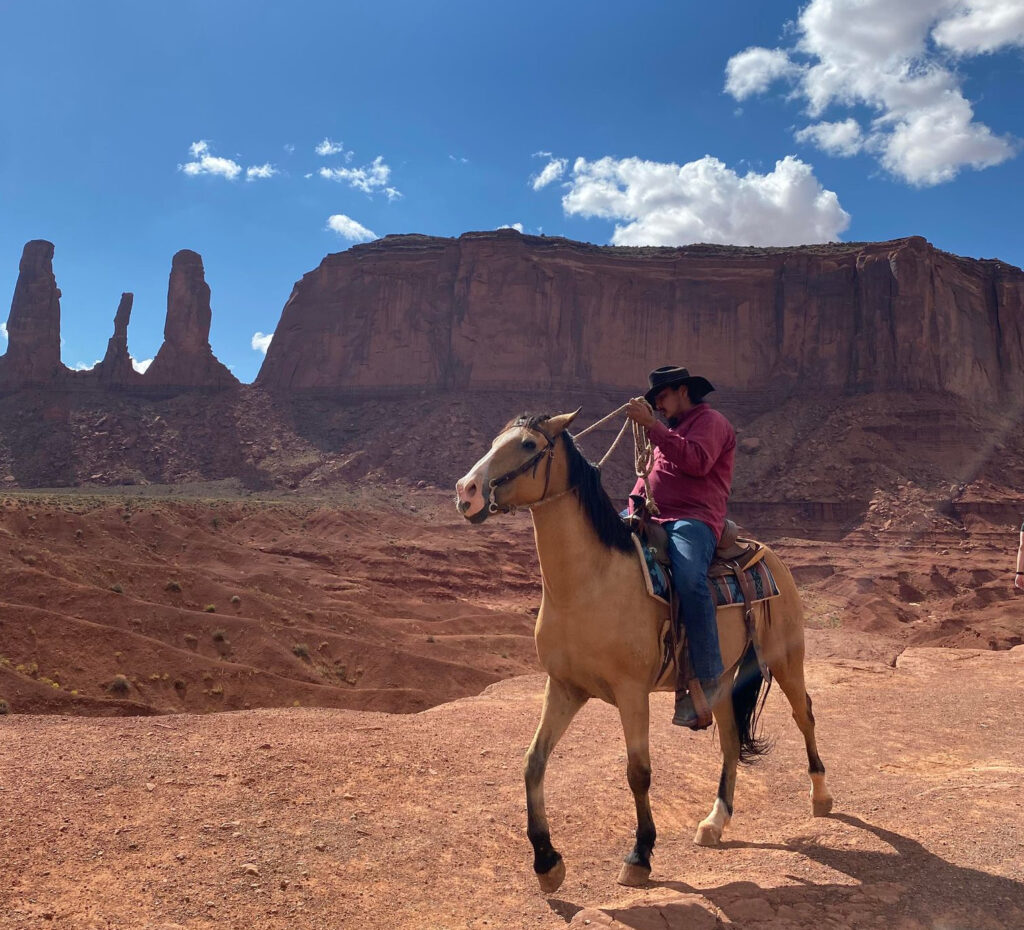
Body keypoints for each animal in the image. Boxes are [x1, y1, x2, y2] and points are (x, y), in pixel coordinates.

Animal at [456, 409, 831, 889]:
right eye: (493, 441)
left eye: (527, 445)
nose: (466, 492)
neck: (588, 584)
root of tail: (768, 555)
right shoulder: (564, 686)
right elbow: (533, 762)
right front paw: (547, 862)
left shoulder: (632, 692)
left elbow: (638, 773)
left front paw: (640, 855)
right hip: (720, 676)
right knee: (730, 741)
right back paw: (714, 822)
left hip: (786, 658)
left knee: (804, 714)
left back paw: (821, 797)